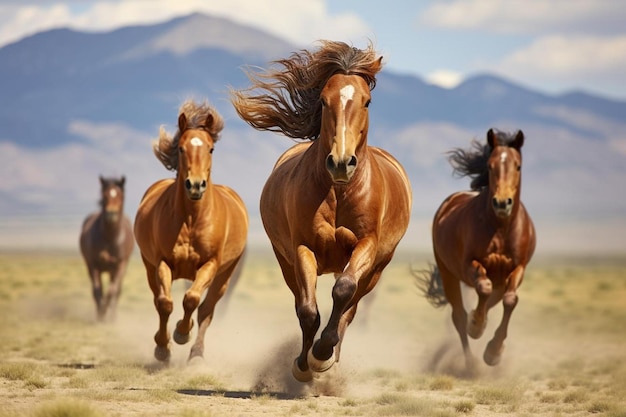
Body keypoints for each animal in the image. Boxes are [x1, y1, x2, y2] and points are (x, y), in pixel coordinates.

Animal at [79, 176, 134, 322]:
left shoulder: (119, 265)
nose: (111, 214)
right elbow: (97, 291)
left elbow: (112, 291)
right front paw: (100, 315)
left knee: (117, 290)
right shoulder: (93, 265)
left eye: (120, 195)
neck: (109, 237)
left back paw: (112, 314)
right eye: (104, 195)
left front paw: (108, 315)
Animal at [133, 100, 246, 360]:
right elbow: (165, 303)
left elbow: (192, 300)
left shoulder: (211, 264)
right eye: (182, 148)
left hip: (225, 275)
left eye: (211, 149)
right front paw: (163, 346)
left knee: (207, 309)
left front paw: (182, 333)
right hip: (149, 265)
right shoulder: (162, 262)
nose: (195, 185)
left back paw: (196, 353)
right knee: (159, 299)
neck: (192, 220)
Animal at [229, 40, 410, 382]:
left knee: (351, 308)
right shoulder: (302, 248)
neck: (339, 192)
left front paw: (323, 354)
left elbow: (343, 291)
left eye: (367, 102)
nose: (341, 162)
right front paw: (304, 364)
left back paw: (332, 357)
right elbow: (308, 311)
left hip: (376, 269)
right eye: (324, 101)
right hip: (285, 261)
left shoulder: (366, 245)